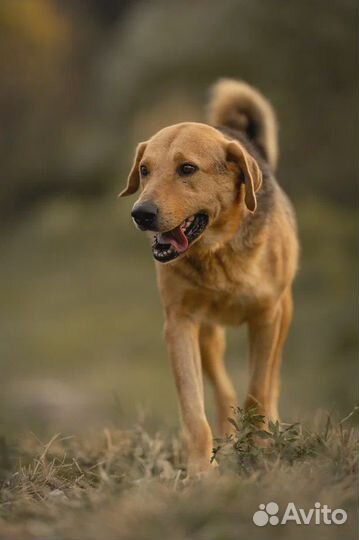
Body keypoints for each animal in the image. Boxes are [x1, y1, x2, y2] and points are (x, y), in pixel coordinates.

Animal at [119, 79, 300, 472]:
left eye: (187, 169)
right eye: (145, 170)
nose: (141, 213)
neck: (218, 250)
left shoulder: (267, 316)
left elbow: (258, 390)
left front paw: (258, 448)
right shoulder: (179, 323)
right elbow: (193, 410)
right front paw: (202, 470)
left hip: (284, 314)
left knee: (272, 380)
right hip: (208, 335)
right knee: (222, 388)